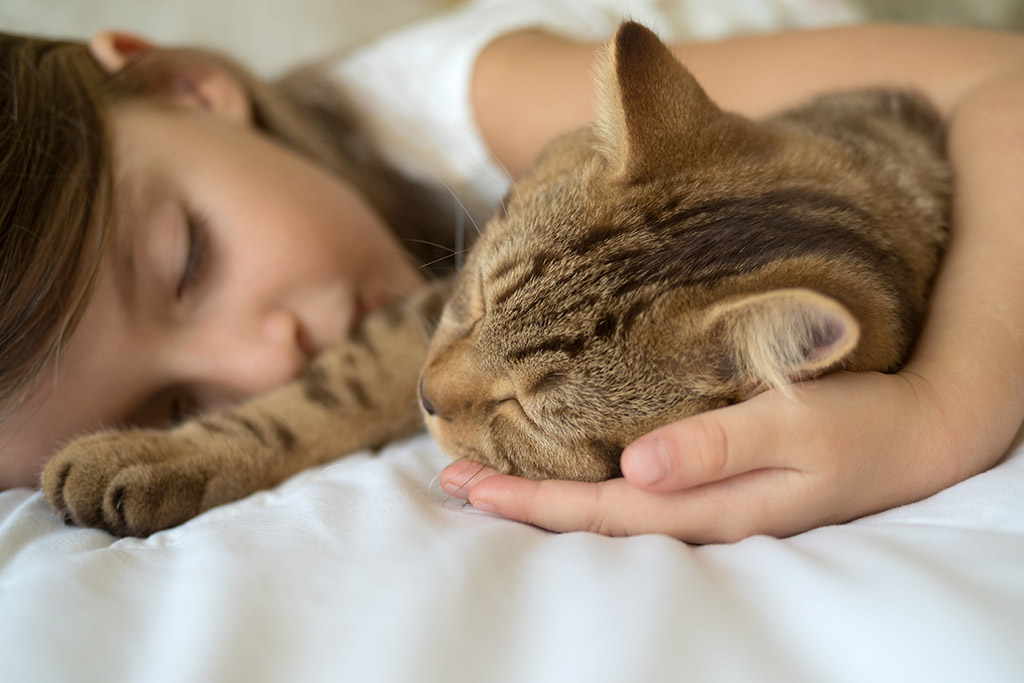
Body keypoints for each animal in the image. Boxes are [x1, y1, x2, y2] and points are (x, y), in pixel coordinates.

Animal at [44, 20, 946, 532]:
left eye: (528, 411)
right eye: (476, 298)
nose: (427, 396)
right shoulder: (419, 314)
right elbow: (321, 396)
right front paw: (154, 456)